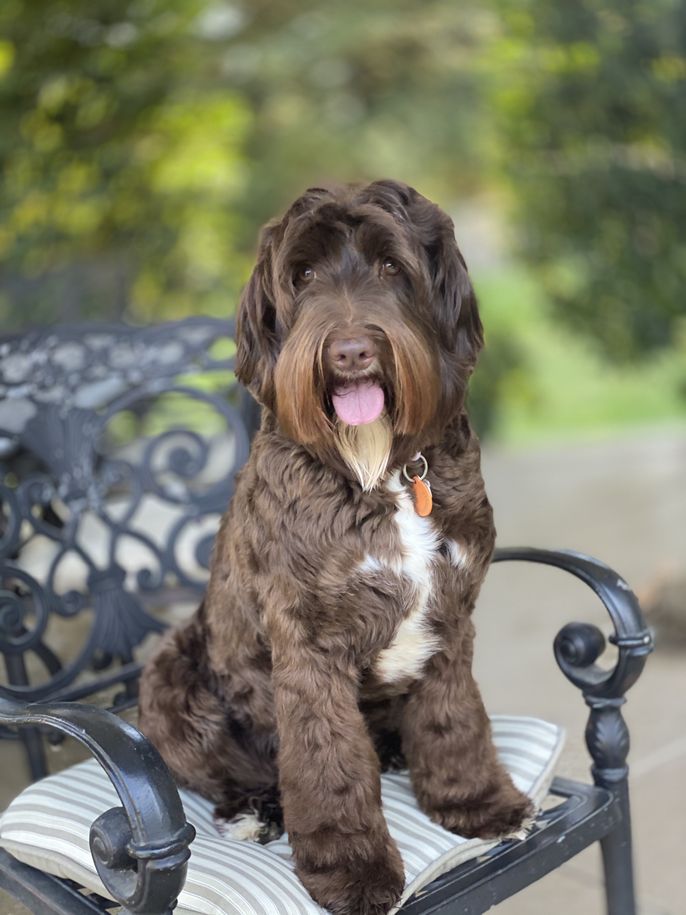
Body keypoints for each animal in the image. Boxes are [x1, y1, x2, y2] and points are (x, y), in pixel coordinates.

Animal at [138, 179, 533, 915]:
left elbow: (455, 719)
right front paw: (353, 869)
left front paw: (475, 801)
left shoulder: (451, 617)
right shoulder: (308, 647)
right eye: (303, 276)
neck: (384, 470)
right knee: (232, 771)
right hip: (170, 673)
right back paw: (253, 808)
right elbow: (328, 766)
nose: (349, 351)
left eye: (391, 266)